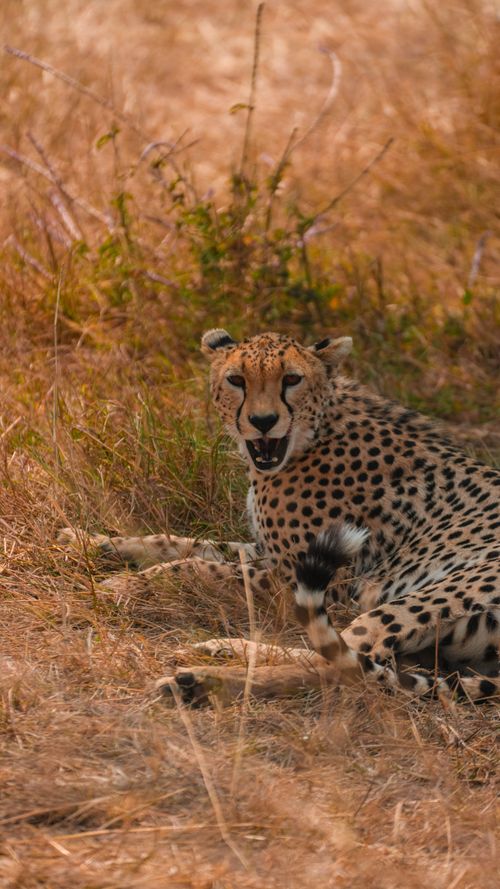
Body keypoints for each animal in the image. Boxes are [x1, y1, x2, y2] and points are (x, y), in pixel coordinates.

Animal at [60, 329, 500, 706]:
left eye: (291, 379)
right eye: (237, 380)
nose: (263, 421)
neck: (315, 431)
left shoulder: (316, 577)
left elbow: (199, 568)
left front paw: (124, 585)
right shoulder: (270, 551)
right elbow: (185, 544)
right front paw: (90, 542)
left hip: (421, 595)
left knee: (344, 662)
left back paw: (202, 680)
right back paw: (220, 650)